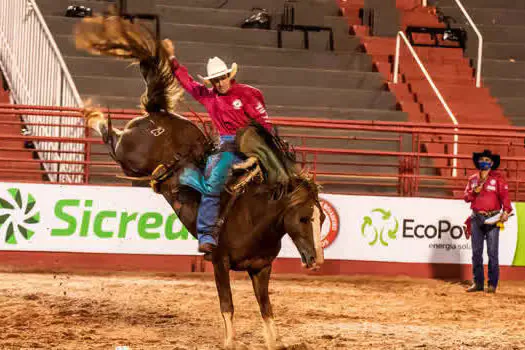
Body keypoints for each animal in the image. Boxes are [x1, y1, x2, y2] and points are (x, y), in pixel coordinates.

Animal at [74, 12, 324, 348]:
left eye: (322, 218)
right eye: (303, 218)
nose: (316, 260)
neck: (256, 216)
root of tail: (157, 112)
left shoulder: (261, 269)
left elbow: (266, 311)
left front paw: (274, 340)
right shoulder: (219, 261)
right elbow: (227, 306)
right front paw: (229, 341)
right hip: (130, 156)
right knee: (111, 137)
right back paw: (93, 115)